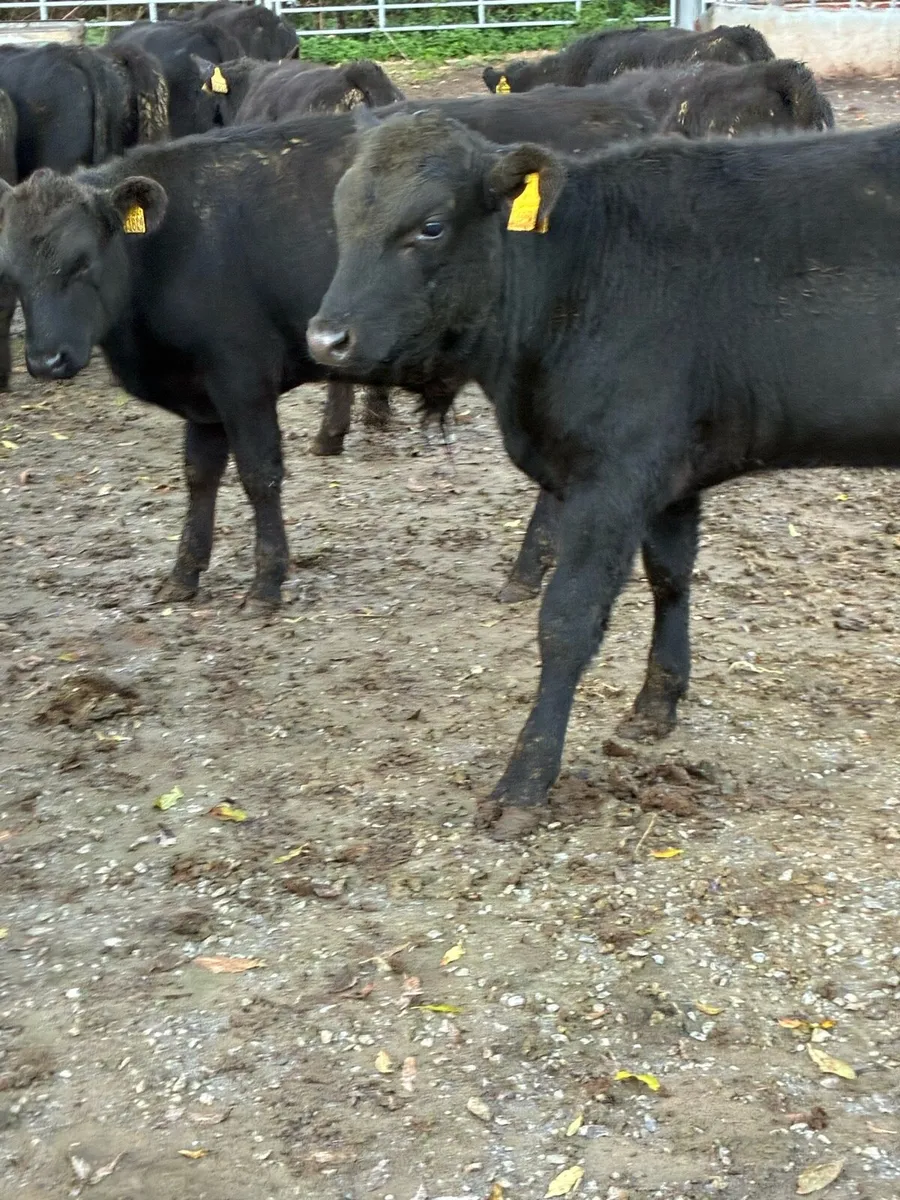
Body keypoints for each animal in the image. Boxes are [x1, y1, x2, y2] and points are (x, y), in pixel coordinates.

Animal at [306, 111, 900, 837]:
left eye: (432, 225)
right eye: (341, 215)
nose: (326, 339)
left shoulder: (611, 479)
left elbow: (568, 621)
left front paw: (524, 783)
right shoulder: (669, 477)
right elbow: (671, 577)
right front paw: (657, 705)